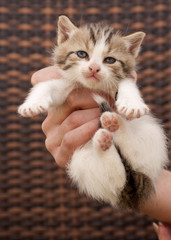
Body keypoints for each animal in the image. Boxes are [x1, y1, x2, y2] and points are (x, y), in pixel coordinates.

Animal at [18, 15, 168, 209]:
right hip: (82, 162)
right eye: (82, 54)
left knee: (130, 154)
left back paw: (114, 124)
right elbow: (46, 86)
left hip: (150, 136)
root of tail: (136, 188)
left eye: (110, 60)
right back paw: (104, 137)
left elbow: (126, 82)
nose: (94, 68)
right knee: (115, 177)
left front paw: (132, 104)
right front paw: (32, 103)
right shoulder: (65, 86)